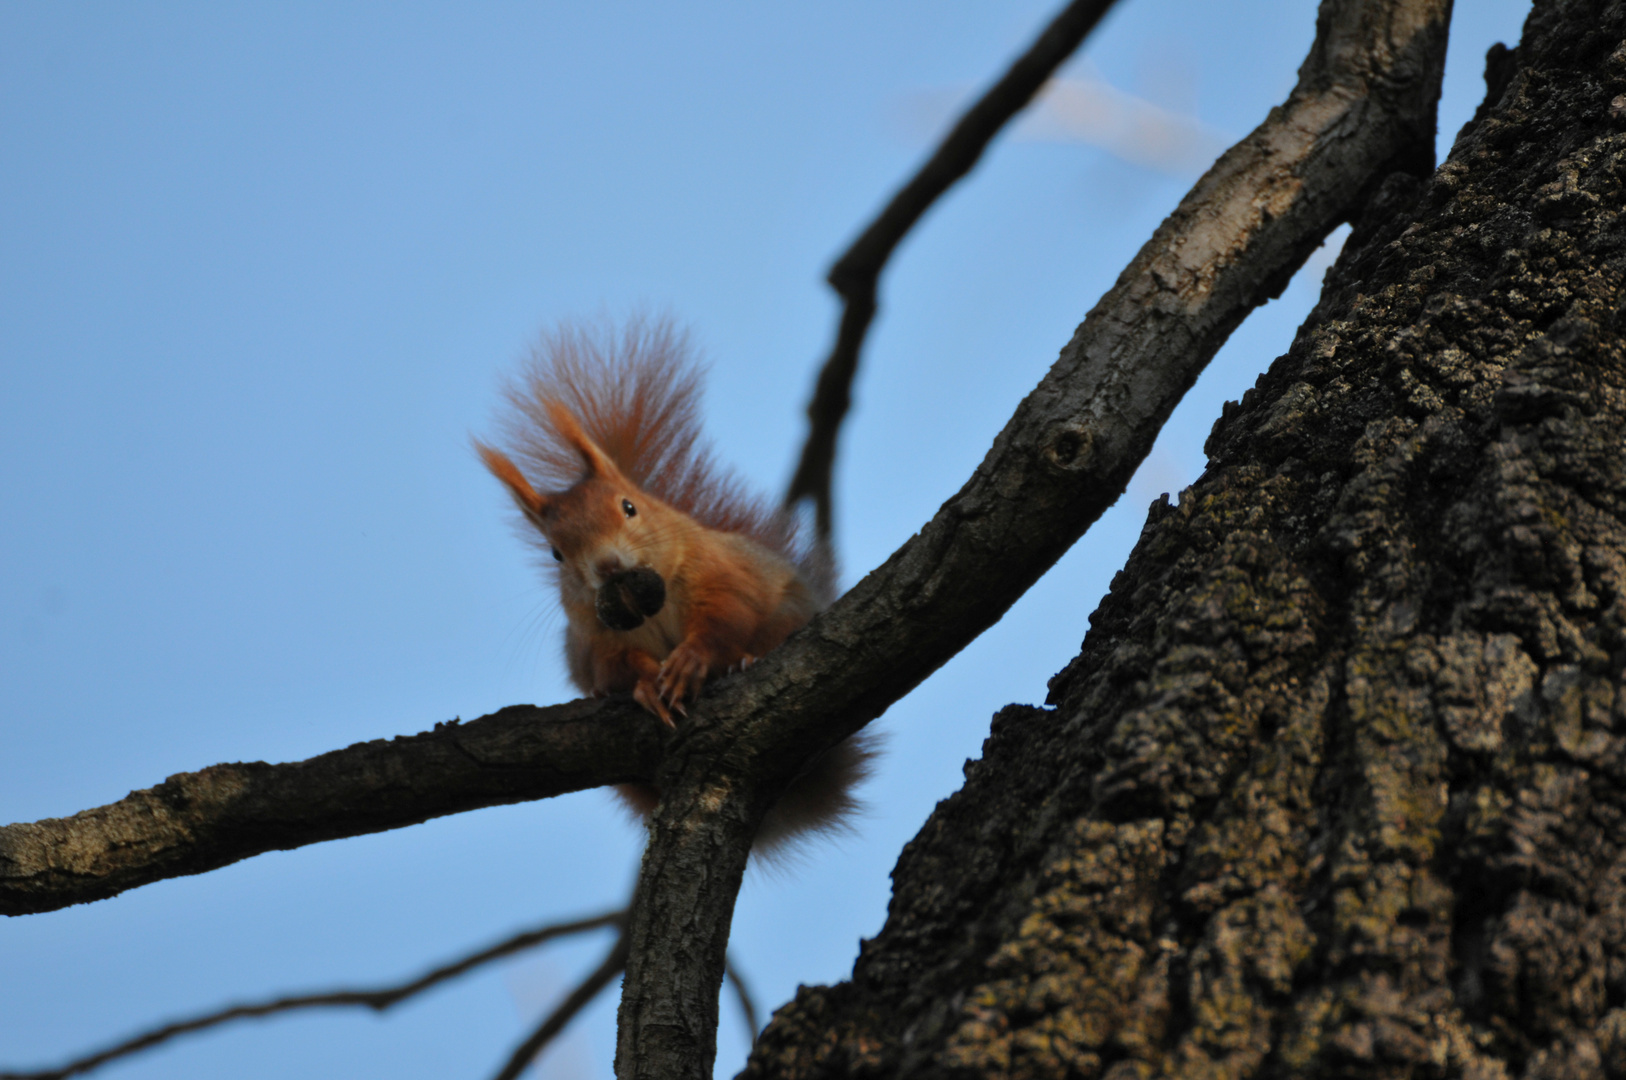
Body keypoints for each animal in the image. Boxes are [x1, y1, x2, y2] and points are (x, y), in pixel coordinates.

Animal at [474, 317, 871, 845]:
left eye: (629, 507)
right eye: (556, 552)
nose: (607, 565)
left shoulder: (720, 574)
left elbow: (727, 615)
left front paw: (692, 660)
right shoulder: (593, 639)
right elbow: (613, 667)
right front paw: (643, 683)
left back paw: (750, 657)